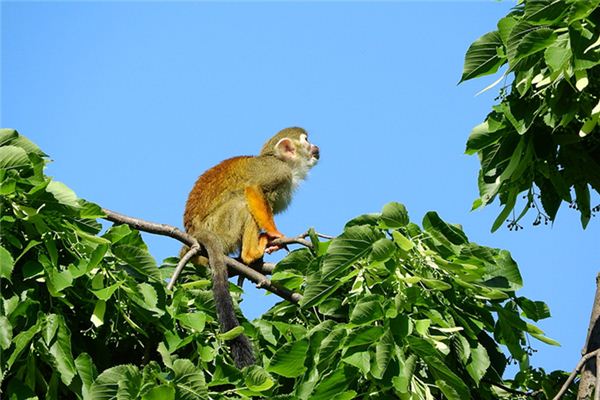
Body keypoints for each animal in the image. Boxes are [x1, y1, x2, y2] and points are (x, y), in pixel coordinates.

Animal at [184, 126, 318, 368]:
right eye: (306, 140)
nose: (316, 148)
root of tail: (193, 232)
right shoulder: (278, 171)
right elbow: (254, 189)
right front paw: (275, 234)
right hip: (219, 227)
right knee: (242, 201)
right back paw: (250, 254)